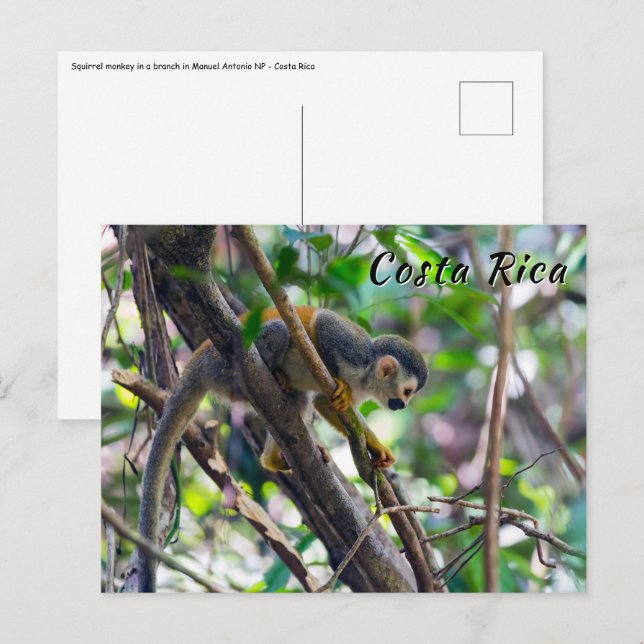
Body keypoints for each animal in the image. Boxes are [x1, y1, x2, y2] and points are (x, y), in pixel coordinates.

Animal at [137, 305, 428, 591]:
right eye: (407, 391)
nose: (403, 405)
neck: (366, 378)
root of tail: (198, 359)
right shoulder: (354, 350)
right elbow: (324, 324)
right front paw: (335, 376)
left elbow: (325, 403)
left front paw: (376, 448)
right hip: (221, 362)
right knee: (277, 331)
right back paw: (269, 375)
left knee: (296, 401)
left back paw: (273, 459)